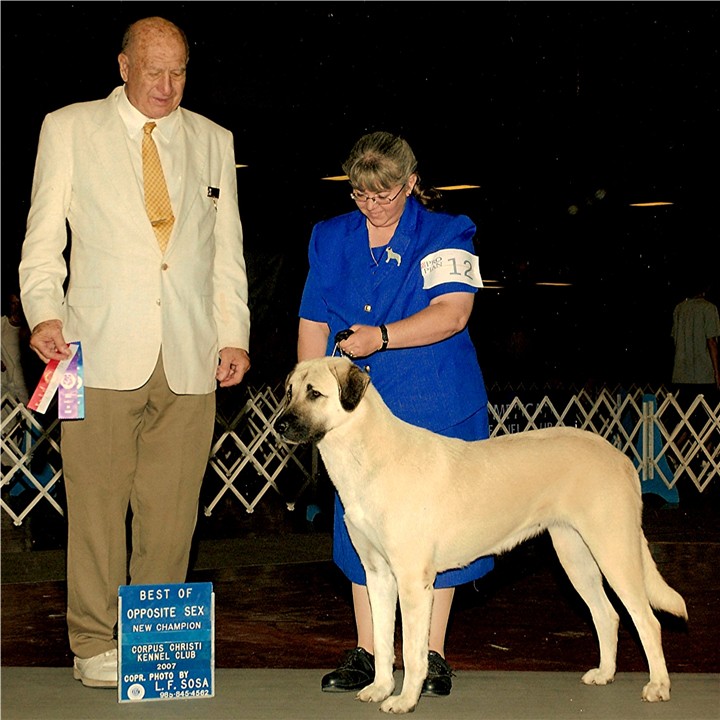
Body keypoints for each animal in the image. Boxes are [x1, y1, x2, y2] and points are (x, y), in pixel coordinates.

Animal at [274, 358, 688, 712]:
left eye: (315, 393)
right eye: (289, 391)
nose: (279, 425)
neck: (366, 453)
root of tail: (620, 456)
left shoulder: (412, 581)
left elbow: (411, 650)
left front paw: (405, 700)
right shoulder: (377, 575)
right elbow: (381, 638)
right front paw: (379, 688)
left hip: (614, 551)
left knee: (646, 620)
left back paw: (658, 686)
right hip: (575, 556)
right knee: (607, 615)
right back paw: (604, 674)